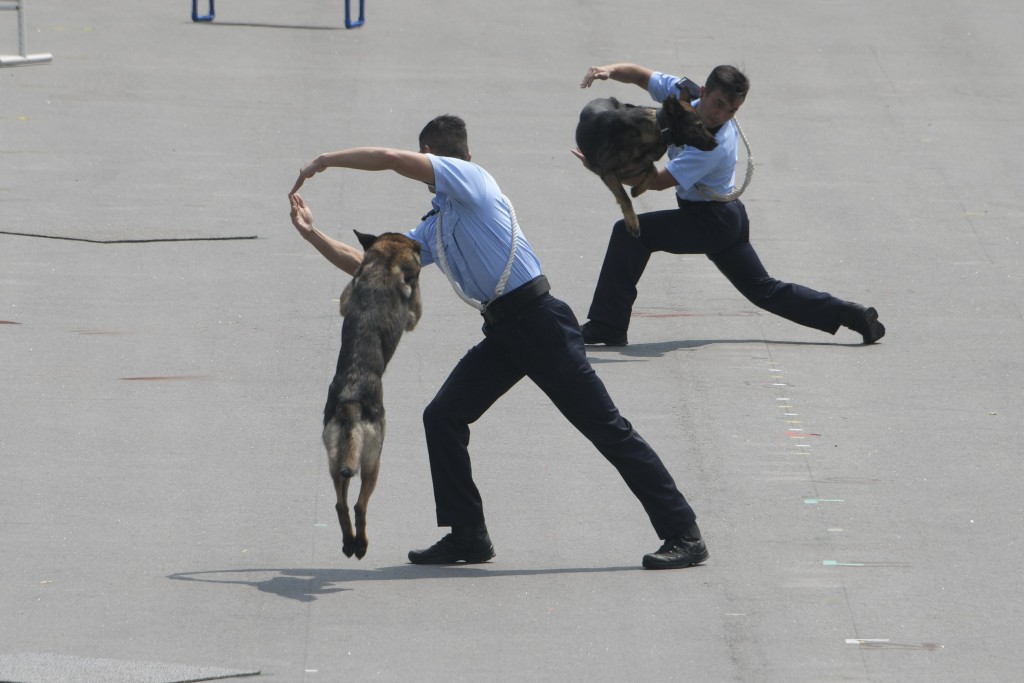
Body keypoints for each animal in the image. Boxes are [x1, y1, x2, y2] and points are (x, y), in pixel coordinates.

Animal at [321, 232, 421, 557]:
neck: (386, 261)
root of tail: (351, 400)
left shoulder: (346, 296)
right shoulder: (414, 313)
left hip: (337, 459)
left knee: (340, 504)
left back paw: (348, 543)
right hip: (373, 461)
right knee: (359, 506)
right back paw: (361, 544)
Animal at [573, 94, 716, 236]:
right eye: (699, 125)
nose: (716, 143)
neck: (658, 130)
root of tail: (607, 98)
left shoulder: (642, 163)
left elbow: (654, 172)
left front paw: (637, 190)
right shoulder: (608, 172)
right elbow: (625, 198)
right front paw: (632, 221)